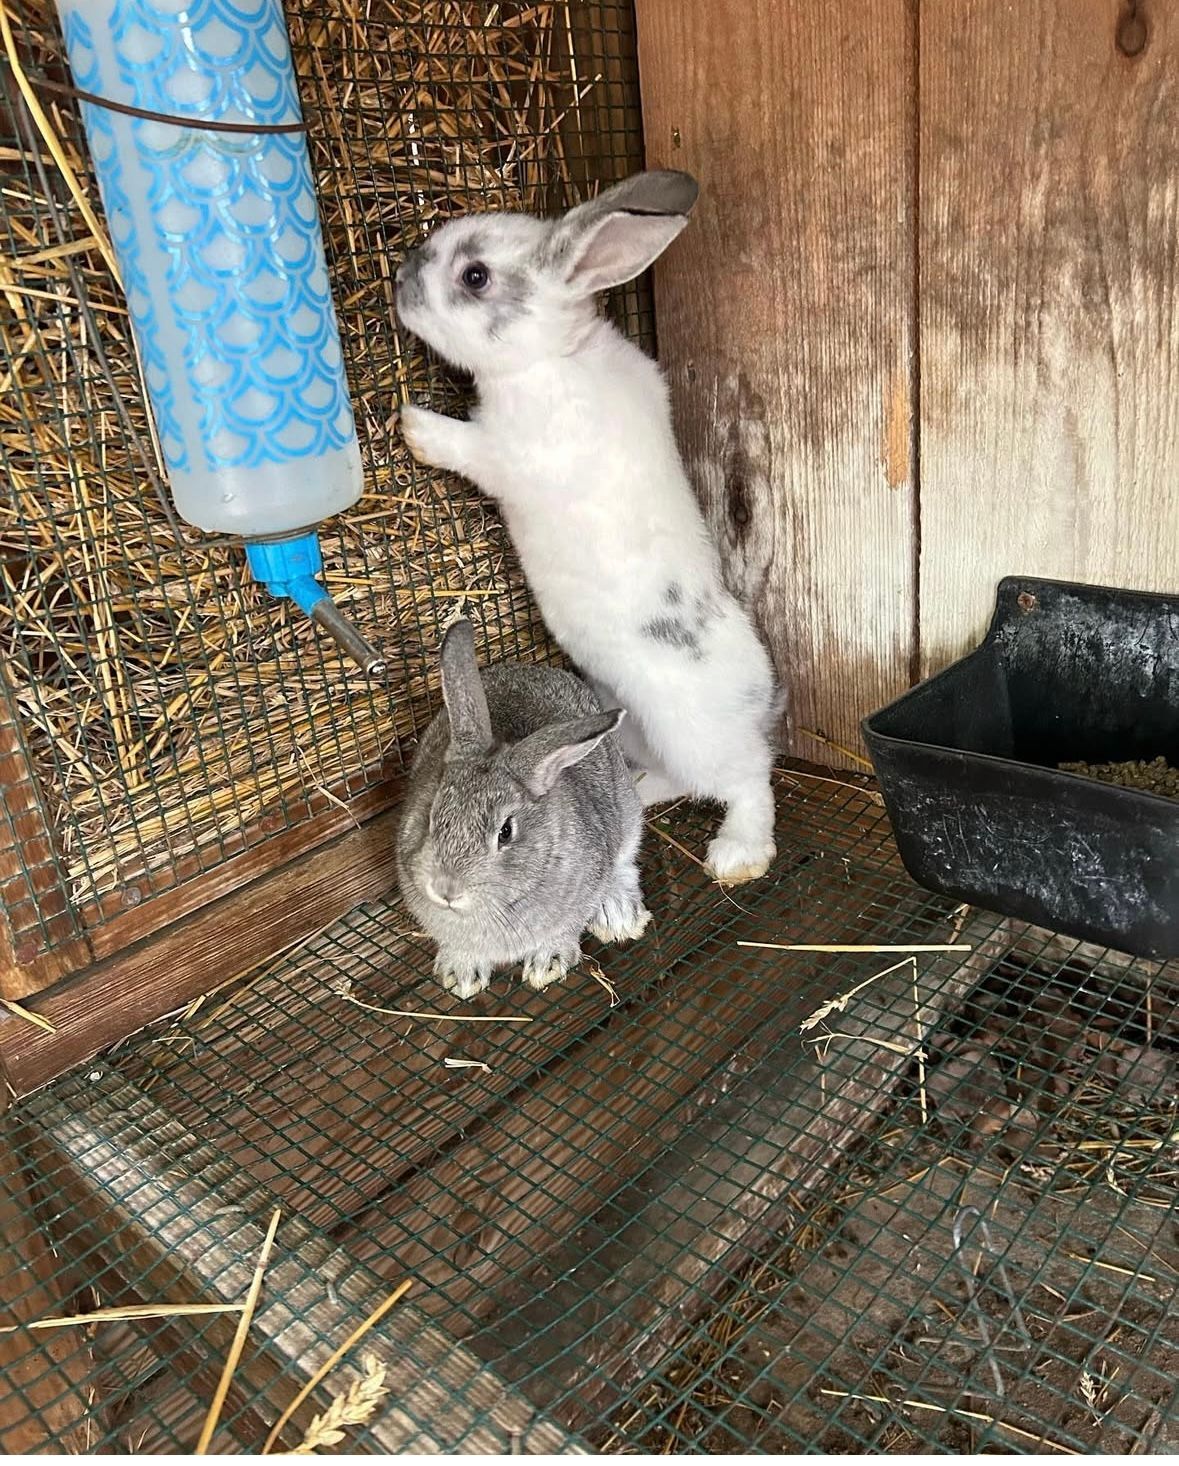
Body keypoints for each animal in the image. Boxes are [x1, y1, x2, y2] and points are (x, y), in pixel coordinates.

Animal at [394, 170, 780, 884]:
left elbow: (465, 447)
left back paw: (739, 854)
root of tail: (761, 696)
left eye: (476, 276)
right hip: (631, 727)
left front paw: (415, 427)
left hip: (699, 739)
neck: (552, 356)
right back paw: (638, 791)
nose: (402, 276)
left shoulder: (505, 456)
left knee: (748, 780)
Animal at [396, 618, 651, 1000]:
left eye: (505, 832)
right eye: (430, 815)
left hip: (627, 808)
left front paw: (547, 964)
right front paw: (461, 974)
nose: (446, 890)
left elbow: (564, 931)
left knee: (625, 862)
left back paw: (618, 915)